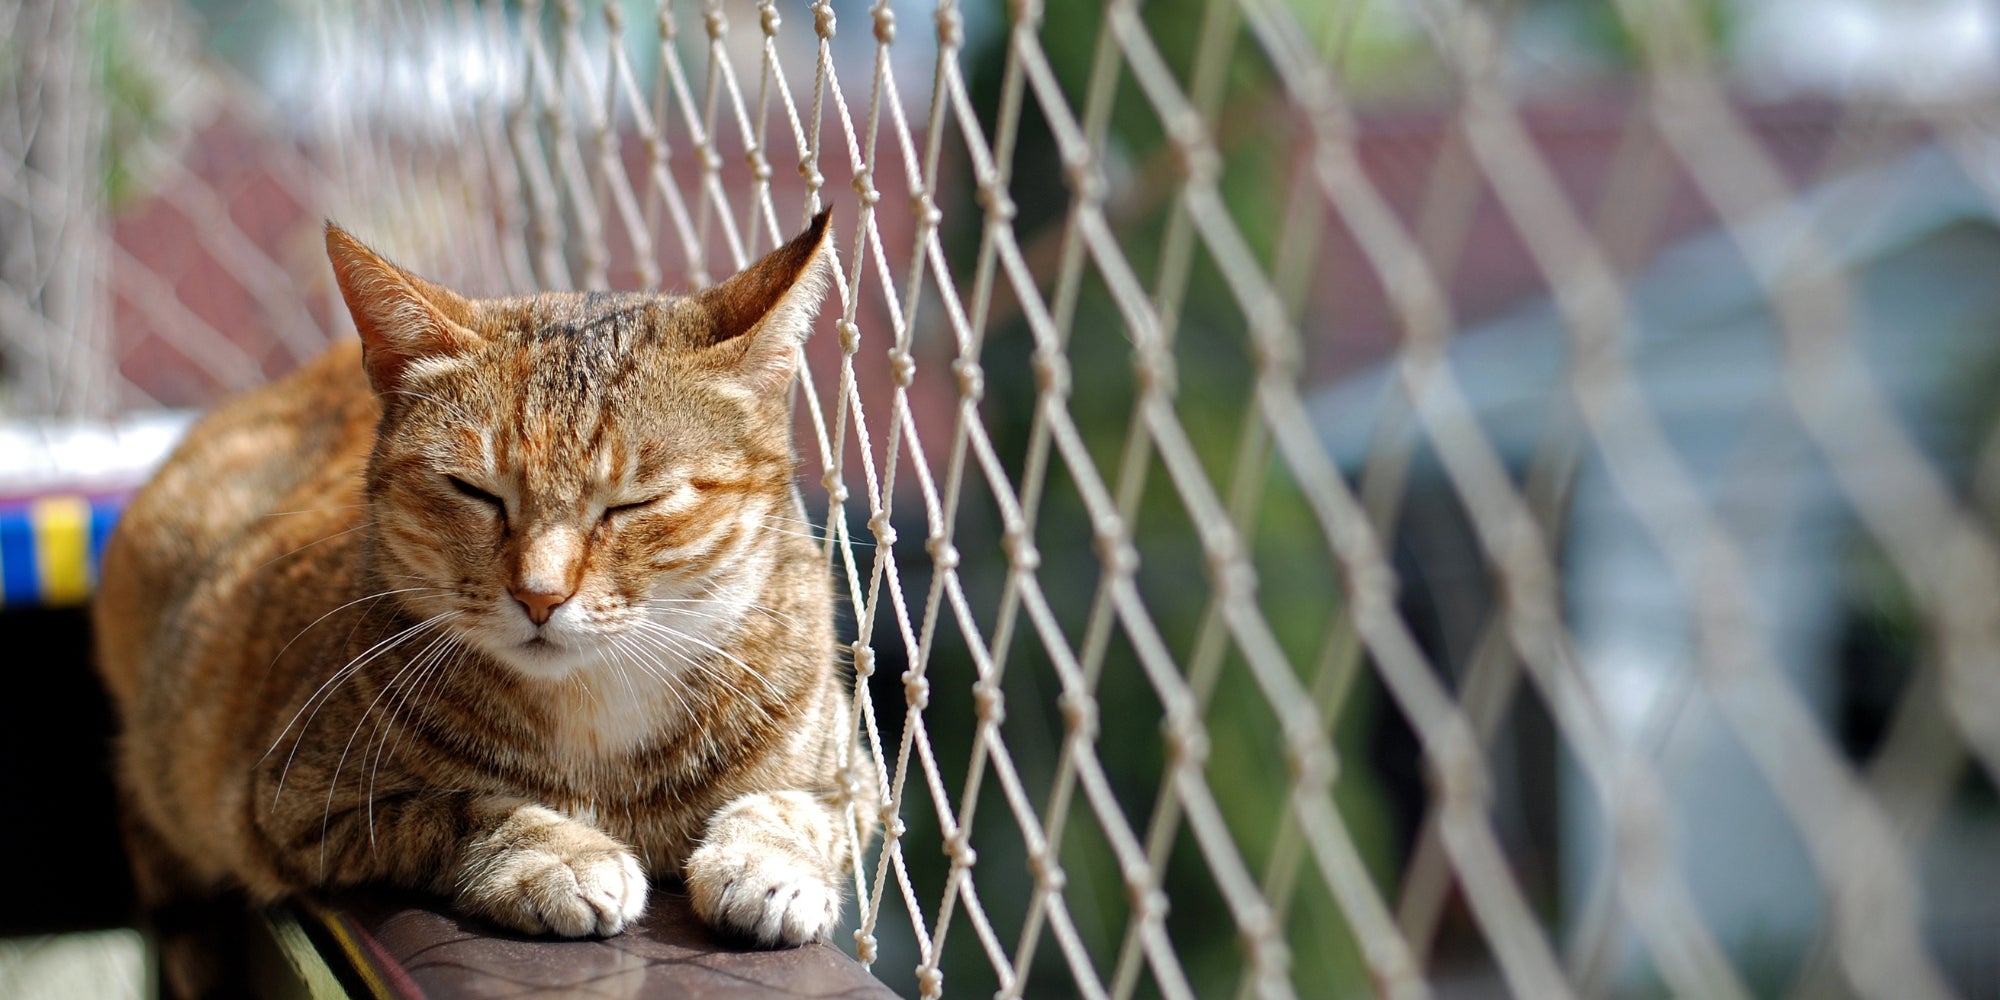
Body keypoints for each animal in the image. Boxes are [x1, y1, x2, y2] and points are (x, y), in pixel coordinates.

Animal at [94, 209, 876, 992]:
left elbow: (799, 806)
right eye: (475, 491)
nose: (540, 593)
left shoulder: (855, 782)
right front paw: (558, 853)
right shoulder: (295, 806)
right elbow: (460, 808)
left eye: (634, 503)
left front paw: (770, 863)